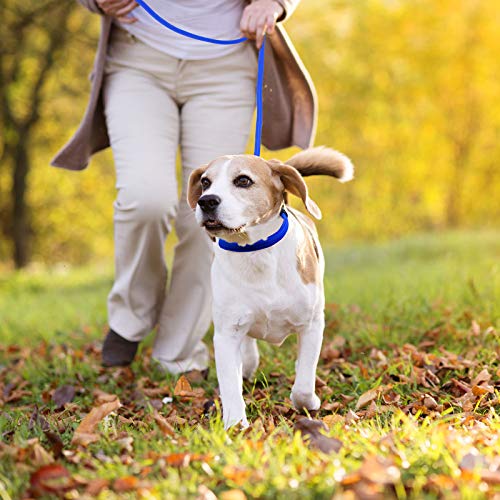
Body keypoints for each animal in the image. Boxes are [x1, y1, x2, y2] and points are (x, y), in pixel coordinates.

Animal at [186, 146, 354, 428]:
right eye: (205, 182)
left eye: (243, 180)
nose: (206, 201)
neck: (255, 251)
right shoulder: (226, 334)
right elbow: (230, 384)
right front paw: (235, 425)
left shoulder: (311, 325)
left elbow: (303, 383)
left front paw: (309, 403)